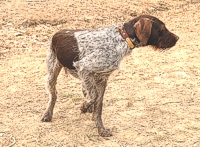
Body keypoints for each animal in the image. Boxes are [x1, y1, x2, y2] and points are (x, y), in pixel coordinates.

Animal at [41, 14, 179, 137]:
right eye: (161, 29)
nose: (177, 38)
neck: (121, 38)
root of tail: (57, 33)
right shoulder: (84, 67)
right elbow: (93, 98)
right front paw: (84, 107)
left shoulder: (102, 79)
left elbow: (98, 105)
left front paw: (101, 129)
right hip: (52, 73)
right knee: (53, 96)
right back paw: (48, 114)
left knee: (84, 90)